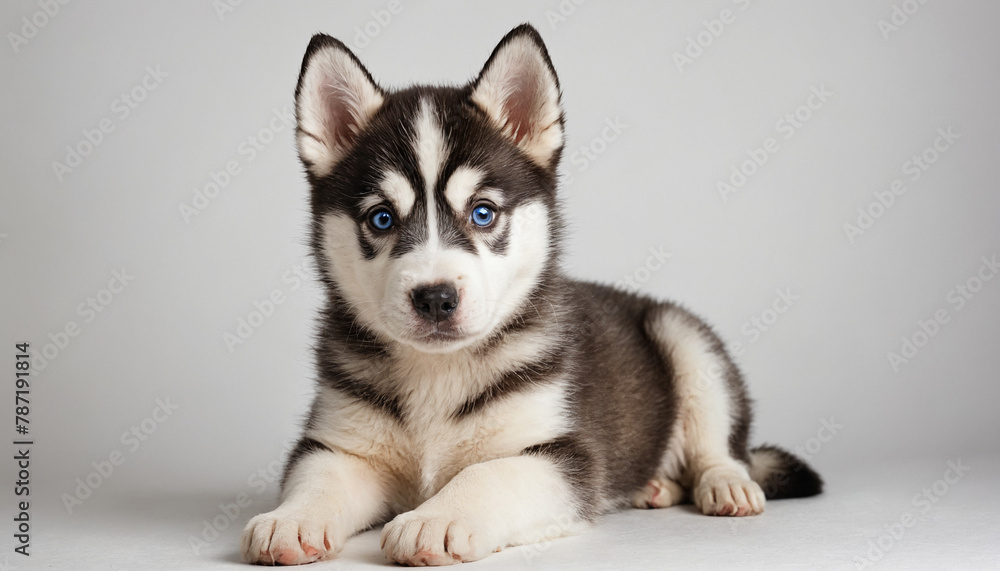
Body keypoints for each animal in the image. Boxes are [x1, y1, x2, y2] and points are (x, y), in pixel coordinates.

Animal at [240, 23, 820, 568]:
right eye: (381, 219)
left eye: (483, 213)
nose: (435, 298)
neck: (437, 372)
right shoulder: (340, 443)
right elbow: (319, 477)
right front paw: (288, 520)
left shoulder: (562, 456)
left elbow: (490, 474)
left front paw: (434, 520)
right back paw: (656, 485)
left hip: (685, 340)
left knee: (719, 440)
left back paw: (725, 482)